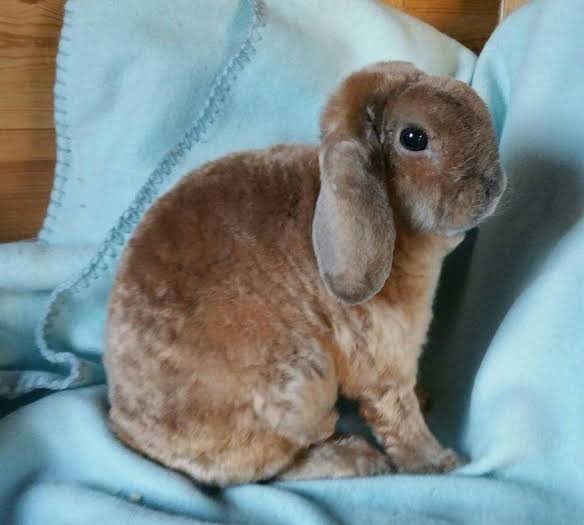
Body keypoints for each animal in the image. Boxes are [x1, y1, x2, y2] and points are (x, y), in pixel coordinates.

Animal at [105, 62, 506, 488]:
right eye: (413, 138)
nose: (494, 186)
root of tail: (127, 428)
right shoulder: (382, 367)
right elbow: (401, 421)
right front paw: (440, 464)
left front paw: (425, 399)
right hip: (302, 389)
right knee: (274, 470)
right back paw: (358, 459)